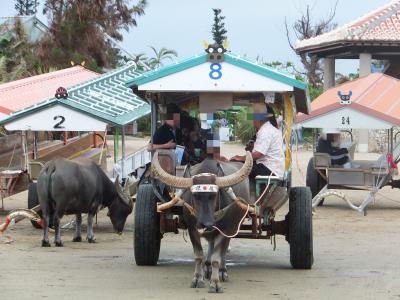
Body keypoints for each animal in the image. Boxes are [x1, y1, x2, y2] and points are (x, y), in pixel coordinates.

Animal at [152, 151, 252, 292]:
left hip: (231, 228)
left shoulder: (224, 230)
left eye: (214, 196)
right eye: (195, 196)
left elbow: (217, 256)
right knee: (210, 244)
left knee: (223, 249)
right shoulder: (192, 229)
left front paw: (215, 283)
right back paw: (207, 267)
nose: (207, 224)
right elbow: (199, 255)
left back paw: (222, 271)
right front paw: (197, 279)